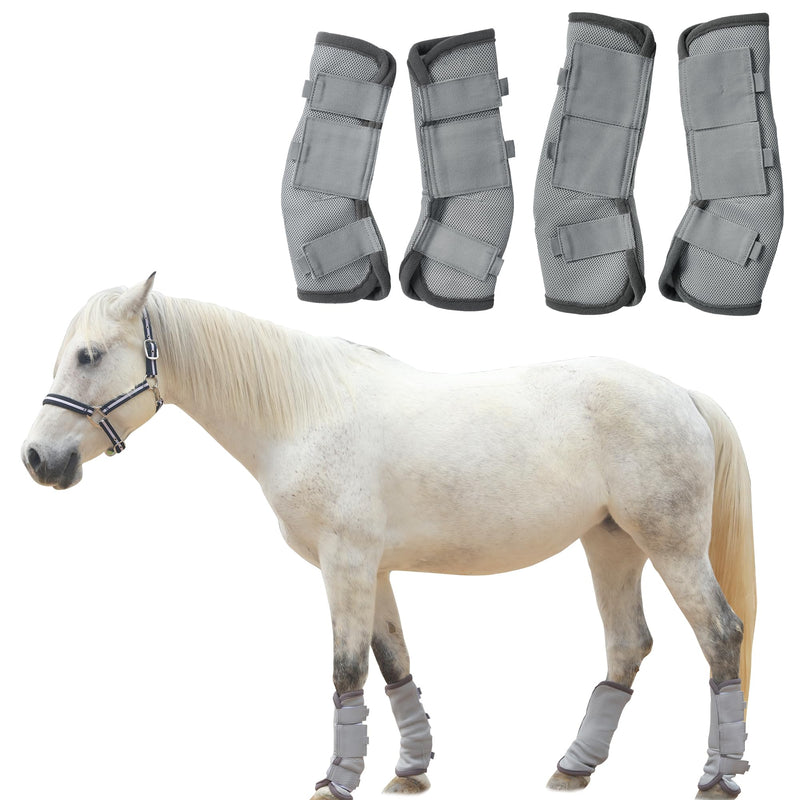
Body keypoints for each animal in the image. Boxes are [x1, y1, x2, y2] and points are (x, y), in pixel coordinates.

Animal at [22, 275, 755, 799]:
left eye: (89, 355)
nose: (37, 459)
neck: (302, 412)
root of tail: (681, 393)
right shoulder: (373, 571)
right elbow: (394, 663)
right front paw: (409, 771)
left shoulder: (345, 564)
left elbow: (346, 670)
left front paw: (336, 782)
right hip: (611, 545)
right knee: (628, 645)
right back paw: (574, 767)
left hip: (671, 546)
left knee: (720, 635)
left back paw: (718, 777)